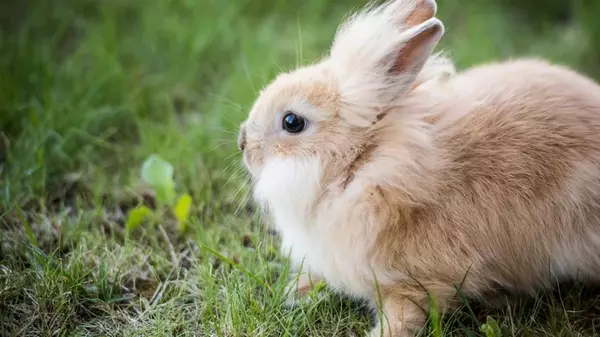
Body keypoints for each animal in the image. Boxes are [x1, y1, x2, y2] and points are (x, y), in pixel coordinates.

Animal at [237, 0, 600, 336]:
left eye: (292, 122)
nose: (242, 142)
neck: (364, 166)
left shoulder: (416, 284)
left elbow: (404, 317)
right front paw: (297, 292)